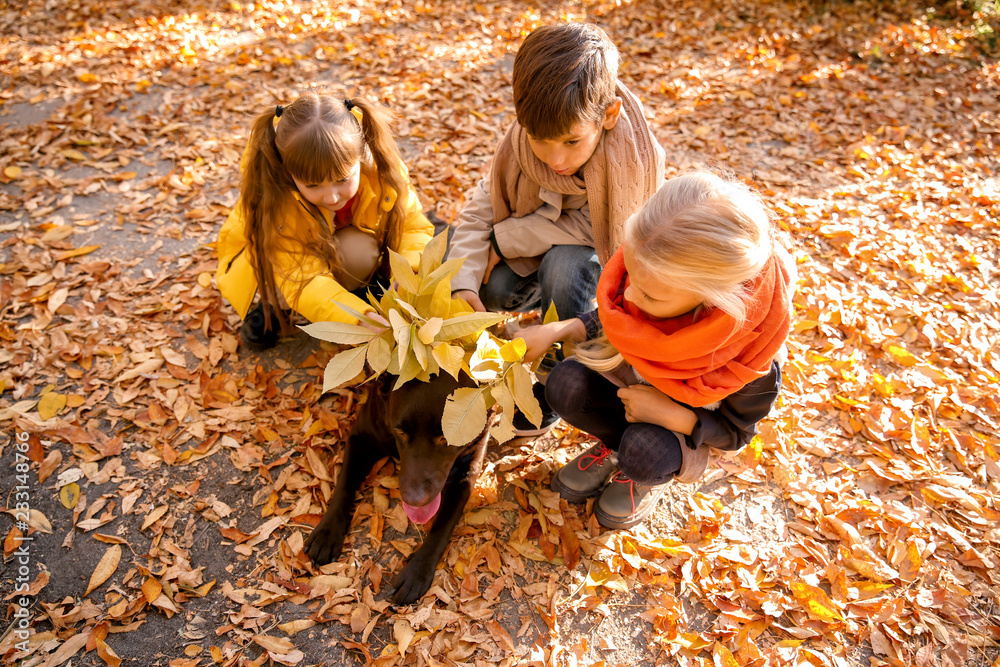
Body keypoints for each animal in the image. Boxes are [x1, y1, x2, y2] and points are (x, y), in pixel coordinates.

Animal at [308, 374, 488, 608]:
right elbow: (343, 485)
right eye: (400, 432)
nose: (414, 499)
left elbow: (443, 525)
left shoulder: (468, 468)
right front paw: (327, 533)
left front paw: (416, 573)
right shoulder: (360, 436)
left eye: (446, 438)